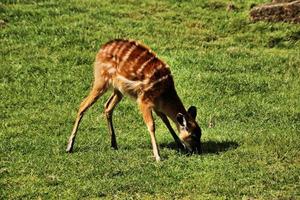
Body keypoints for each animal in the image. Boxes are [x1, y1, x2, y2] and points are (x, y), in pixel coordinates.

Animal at [65, 39, 202, 161]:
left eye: (200, 133)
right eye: (193, 136)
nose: (198, 151)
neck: (165, 94)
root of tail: (101, 49)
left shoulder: (156, 105)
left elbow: (166, 120)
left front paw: (179, 145)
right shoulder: (144, 100)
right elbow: (151, 125)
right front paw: (158, 156)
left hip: (119, 89)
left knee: (107, 106)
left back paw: (113, 144)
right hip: (101, 79)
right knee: (83, 105)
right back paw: (69, 147)